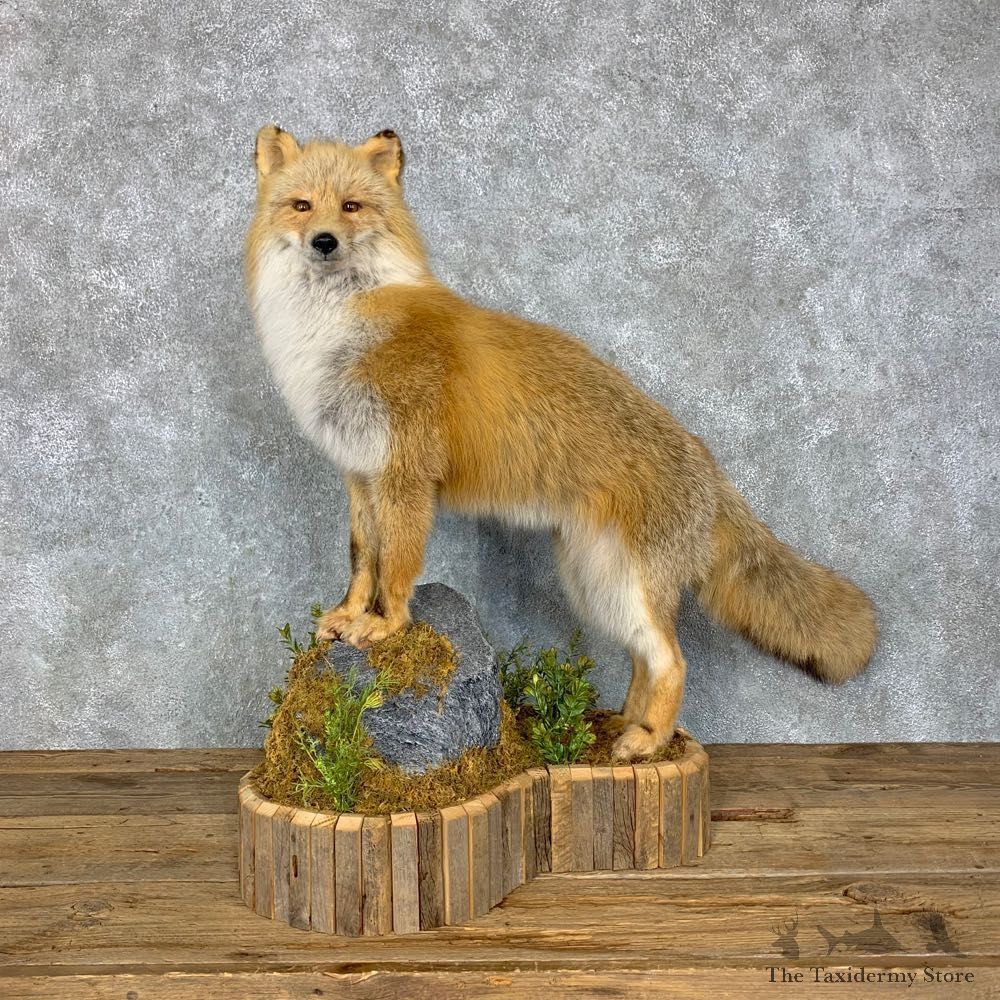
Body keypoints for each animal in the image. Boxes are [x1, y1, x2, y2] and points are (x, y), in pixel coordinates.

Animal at [245, 124, 878, 760]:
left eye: (351, 206)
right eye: (302, 206)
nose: (324, 241)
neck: (339, 330)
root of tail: (709, 466)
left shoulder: (406, 476)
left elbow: (397, 566)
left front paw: (385, 626)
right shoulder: (358, 472)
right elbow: (362, 560)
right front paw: (350, 615)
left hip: (622, 588)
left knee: (674, 662)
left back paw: (648, 740)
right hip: (595, 584)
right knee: (644, 662)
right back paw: (620, 725)